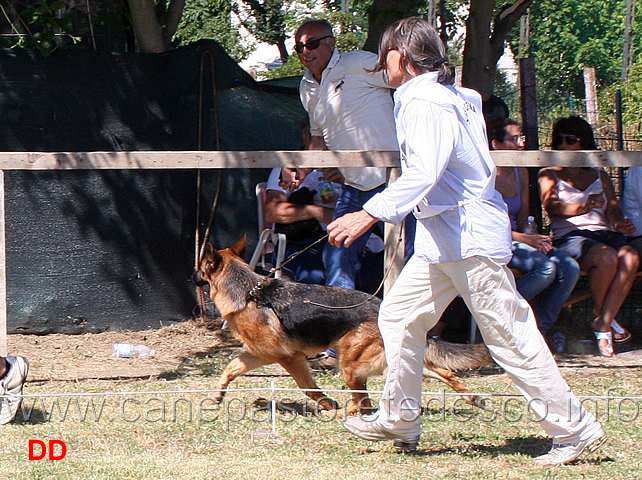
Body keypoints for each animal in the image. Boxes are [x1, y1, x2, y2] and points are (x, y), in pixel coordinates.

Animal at [191, 237, 490, 416]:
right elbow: (230, 369)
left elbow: (309, 388)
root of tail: (383, 308)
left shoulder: (289, 358)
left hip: (349, 366)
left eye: (200, 266)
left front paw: (326, 403)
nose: (192, 277)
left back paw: (336, 412)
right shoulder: (258, 354)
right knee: (443, 373)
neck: (249, 293)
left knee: (363, 404)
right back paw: (473, 398)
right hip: (386, 360)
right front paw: (217, 396)